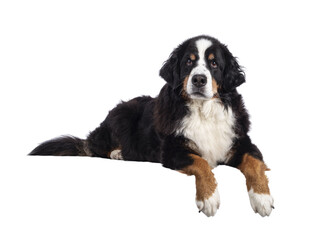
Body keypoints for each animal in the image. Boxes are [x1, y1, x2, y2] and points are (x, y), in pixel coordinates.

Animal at [30, 35, 274, 218]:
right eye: (189, 62)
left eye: (214, 64)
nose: (198, 79)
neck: (203, 111)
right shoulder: (172, 150)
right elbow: (202, 163)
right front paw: (209, 198)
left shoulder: (241, 142)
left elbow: (254, 164)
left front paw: (262, 198)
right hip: (123, 115)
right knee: (98, 147)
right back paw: (118, 153)